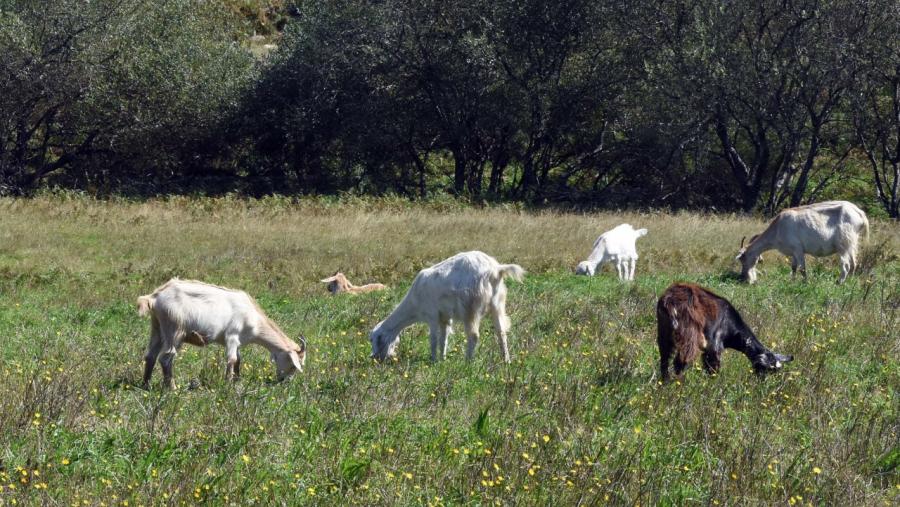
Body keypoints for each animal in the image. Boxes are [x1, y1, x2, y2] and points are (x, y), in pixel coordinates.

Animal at [137, 278, 306, 389]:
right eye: (294, 365)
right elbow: (231, 359)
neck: (254, 319)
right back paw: (172, 388)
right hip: (175, 330)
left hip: (157, 327)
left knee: (151, 355)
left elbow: (238, 360)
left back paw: (146, 385)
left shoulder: (238, 342)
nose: (285, 382)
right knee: (166, 358)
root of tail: (154, 297)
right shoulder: (232, 336)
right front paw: (227, 384)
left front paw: (237, 381)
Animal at [370, 251, 524, 363]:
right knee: (501, 333)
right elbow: (443, 339)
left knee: (474, 336)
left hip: (470, 307)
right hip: (497, 304)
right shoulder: (445, 318)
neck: (414, 305)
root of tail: (495, 270)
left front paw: (432, 360)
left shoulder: (431, 315)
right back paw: (506, 361)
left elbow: (433, 339)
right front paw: (442, 359)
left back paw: (467, 363)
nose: (374, 358)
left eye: (374, 340)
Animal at [656, 283, 792, 382]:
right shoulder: (715, 345)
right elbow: (713, 368)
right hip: (689, 333)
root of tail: (669, 300)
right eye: (765, 368)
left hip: (664, 331)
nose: (764, 384)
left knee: (664, 358)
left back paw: (665, 382)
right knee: (681, 360)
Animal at [737, 200, 869, 284]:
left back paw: (839, 282)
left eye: (744, 259)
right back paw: (849, 282)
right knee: (854, 263)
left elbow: (802, 268)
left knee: (846, 265)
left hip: (843, 245)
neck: (778, 228)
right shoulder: (793, 252)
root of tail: (860, 213)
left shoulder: (798, 249)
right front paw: (792, 281)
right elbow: (794, 267)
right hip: (852, 243)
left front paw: (805, 282)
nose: (744, 278)